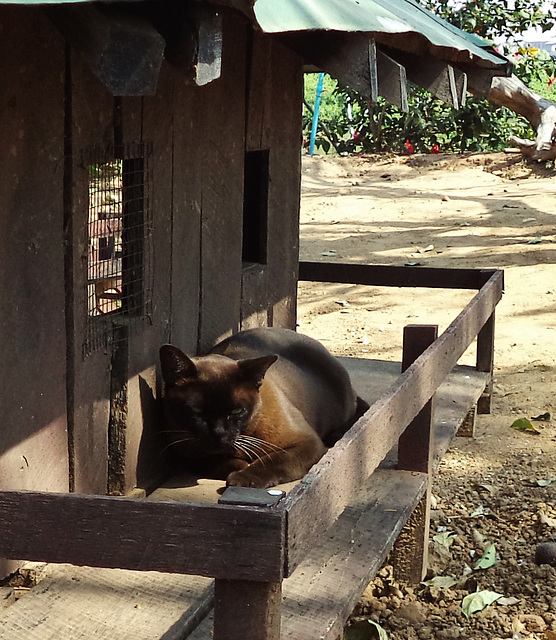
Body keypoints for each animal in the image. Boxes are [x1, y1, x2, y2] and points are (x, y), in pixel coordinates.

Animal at [157, 328, 364, 488]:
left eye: (236, 411)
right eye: (198, 411)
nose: (219, 433)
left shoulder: (306, 443)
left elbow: (273, 461)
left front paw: (242, 478)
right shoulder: (185, 453)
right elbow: (221, 462)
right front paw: (240, 466)